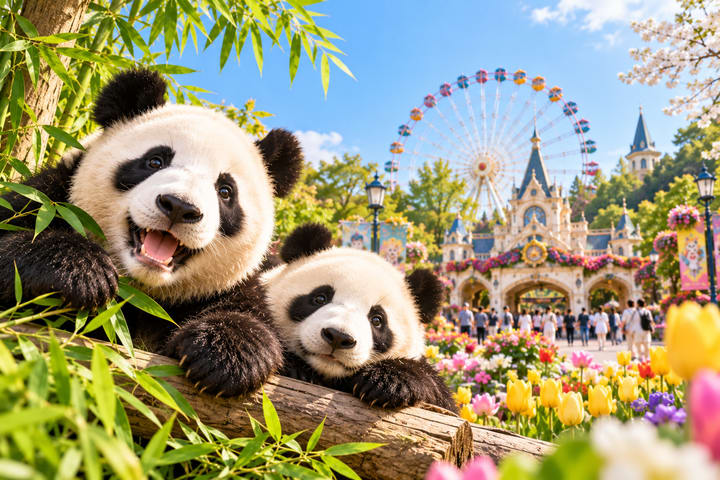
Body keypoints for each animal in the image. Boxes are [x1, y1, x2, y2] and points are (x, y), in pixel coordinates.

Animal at [0, 69, 304, 397]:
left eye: (225, 191)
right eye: (155, 161)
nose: (180, 206)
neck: (142, 293)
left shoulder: (245, 280)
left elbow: (255, 321)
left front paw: (223, 353)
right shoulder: (48, 200)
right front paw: (80, 271)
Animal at [262, 223, 456, 412]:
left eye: (377, 320)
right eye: (320, 298)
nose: (338, 337)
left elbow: (440, 395)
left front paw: (386, 381)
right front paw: (296, 368)